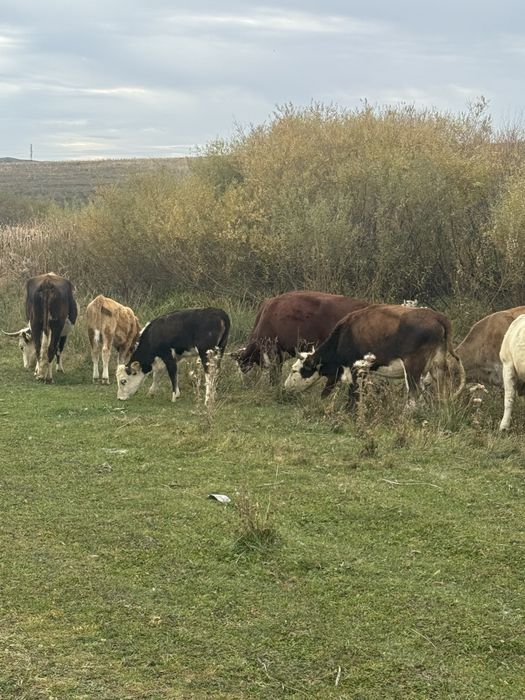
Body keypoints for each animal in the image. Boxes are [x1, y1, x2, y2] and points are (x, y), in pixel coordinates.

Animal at [284, 304, 465, 404]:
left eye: (294, 370)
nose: (285, 387)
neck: (344, 335)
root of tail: (437, 317)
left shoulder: (355, 368)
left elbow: (354, 393)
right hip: (437, 366)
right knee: (442, 388)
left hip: (413, 367)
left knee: (413, 395)